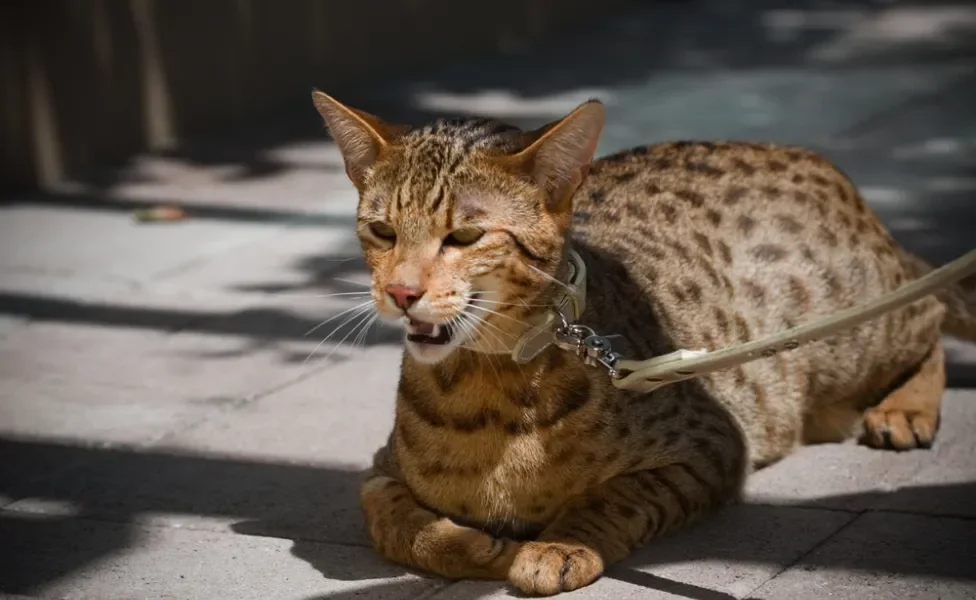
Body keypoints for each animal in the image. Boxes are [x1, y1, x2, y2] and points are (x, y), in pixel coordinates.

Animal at [308, 90, 972, 596]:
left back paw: (904, 408)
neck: (489, 382)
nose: (400, 291)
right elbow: (394, 520)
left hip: (851, 330)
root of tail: (808, 158)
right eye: (382, 230)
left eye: (465, 236)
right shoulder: (378, 470)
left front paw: (559, 543)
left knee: (930, 309)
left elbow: (618, 495)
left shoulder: (713, 443)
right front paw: (469, 545)